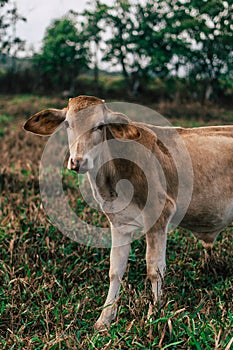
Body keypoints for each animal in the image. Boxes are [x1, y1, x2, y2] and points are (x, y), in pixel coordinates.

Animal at [23, 94, 233, 330]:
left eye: (100, 126)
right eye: (67, 124)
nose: (78, 161)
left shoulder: (159, 214)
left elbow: (154, 269)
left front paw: (153, 317)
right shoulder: (118, 224)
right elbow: (116, 270)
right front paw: (104, 319)